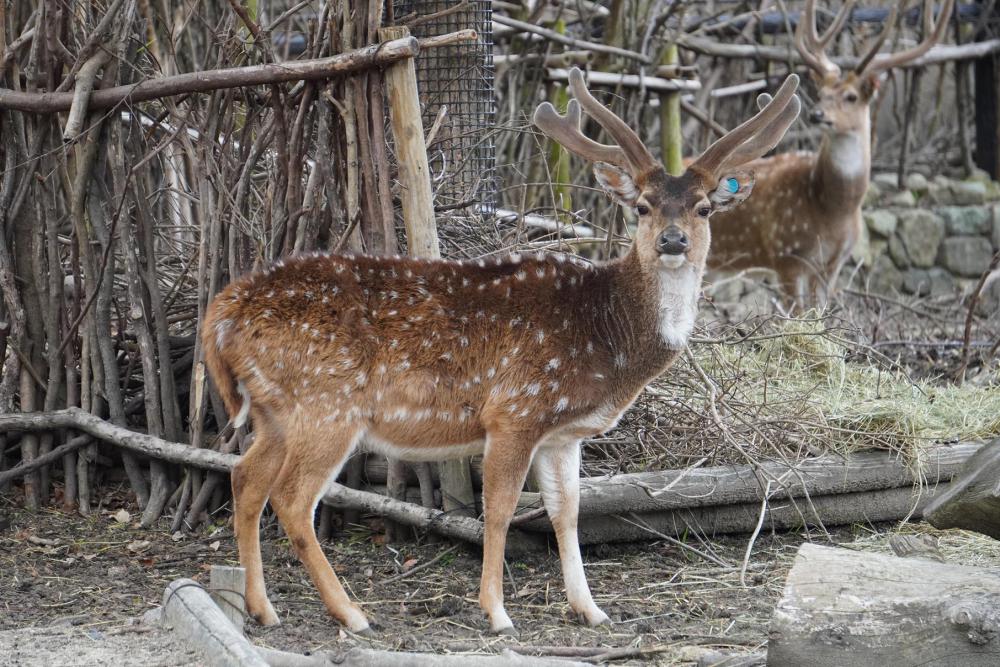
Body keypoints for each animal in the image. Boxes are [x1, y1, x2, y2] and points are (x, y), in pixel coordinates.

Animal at [205, 68, 804, 636]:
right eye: (641, 206)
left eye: (703, 208)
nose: (673, 240)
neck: (607, 339)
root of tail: (223, 311)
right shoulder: (514, 410)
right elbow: (499, 512)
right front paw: (496, 612)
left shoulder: (563, 434)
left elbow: (568, 512)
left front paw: (591, 610)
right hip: (325, 405)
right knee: (291, 498)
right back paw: (351, 614)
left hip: (275, 411)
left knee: (245, 479)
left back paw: (263, 609)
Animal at [712, 0, 952, 306]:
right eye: (821, 93)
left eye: (851, 96)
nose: (816, 114)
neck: (833, 210)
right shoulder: (786, 255)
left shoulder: (834, 263)